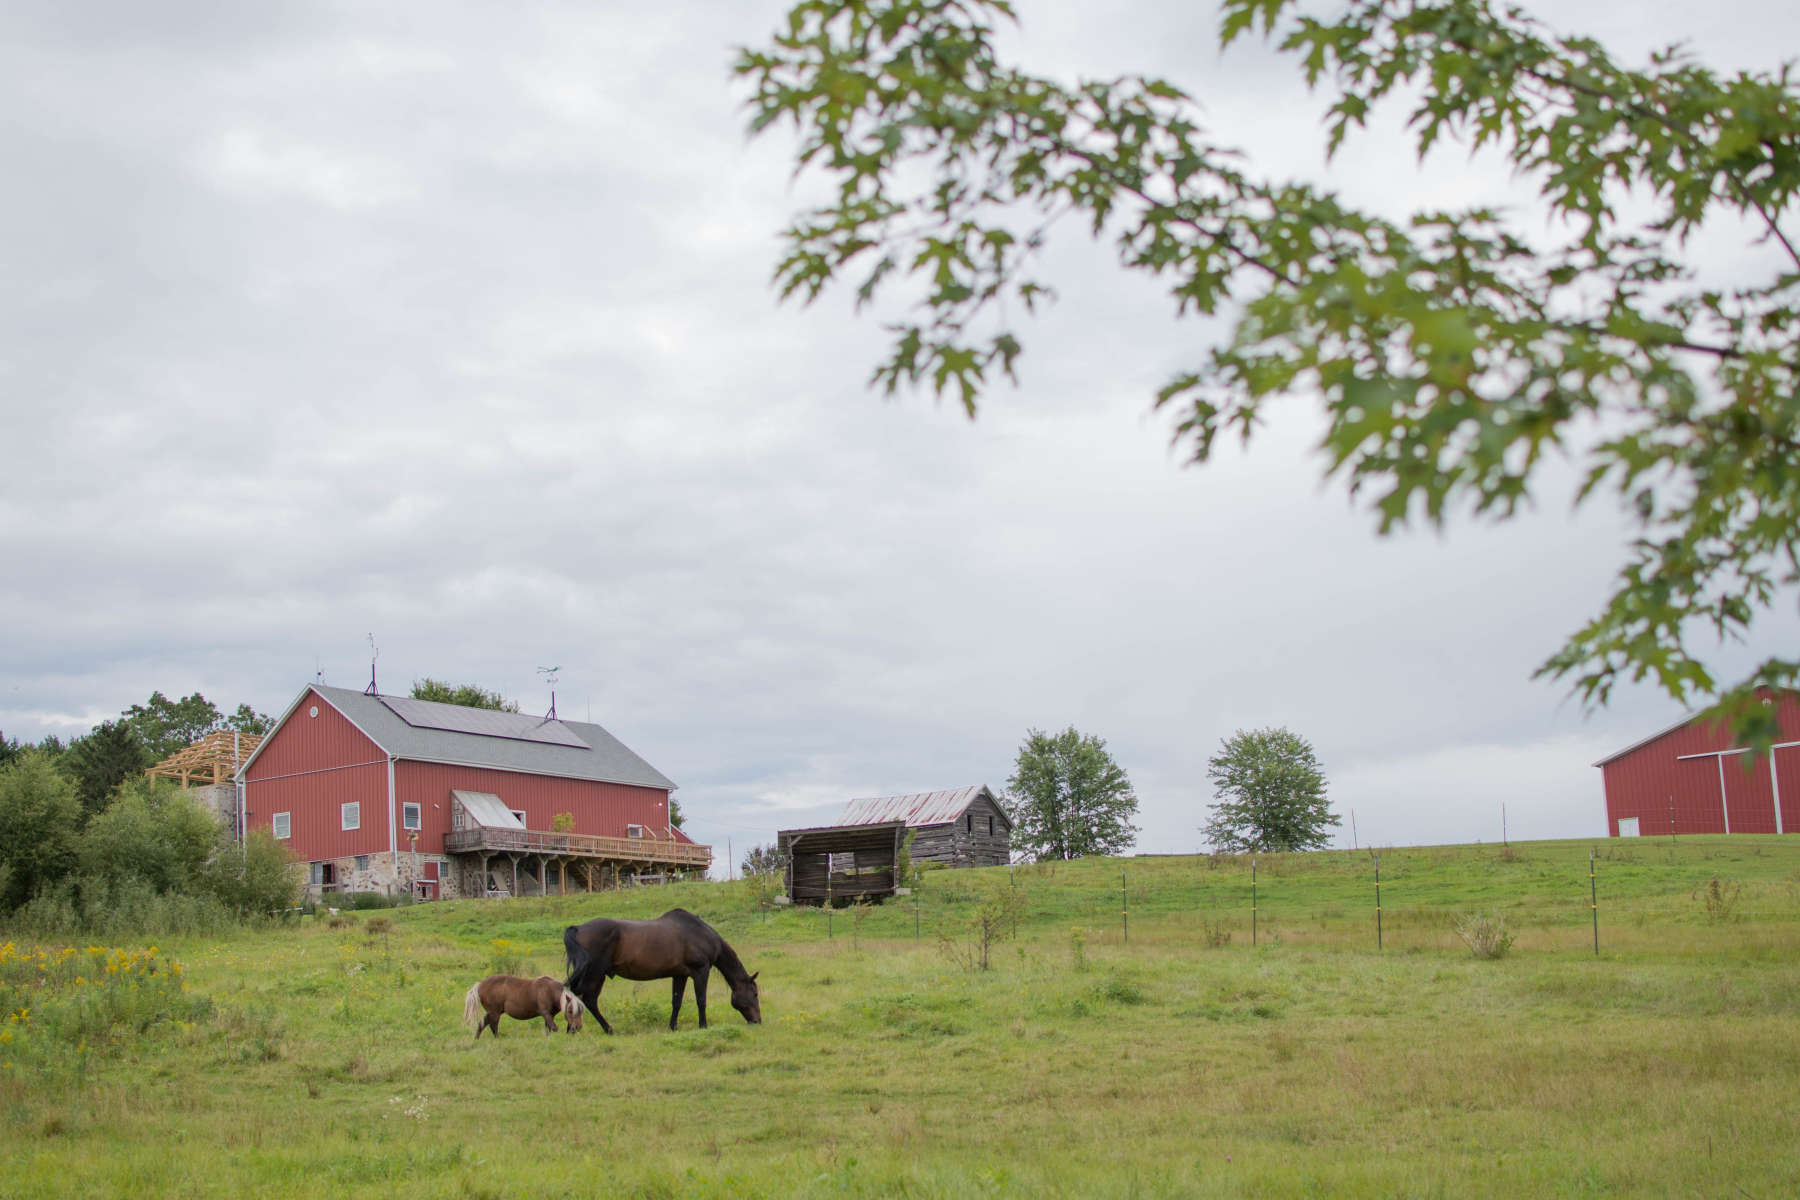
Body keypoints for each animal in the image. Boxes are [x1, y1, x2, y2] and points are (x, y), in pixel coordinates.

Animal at [563, 907, 760, 1034]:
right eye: (755, 994)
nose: (758, 1021)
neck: (700, 933)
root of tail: (578, 928)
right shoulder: (701, 971)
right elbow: (701, 1000)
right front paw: (703, 1026)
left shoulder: (680, 975)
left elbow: (677, 1001)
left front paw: (673, 1027)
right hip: (595, 974)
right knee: (588, 1000)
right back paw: (607, 1029)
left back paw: (572, 1028)